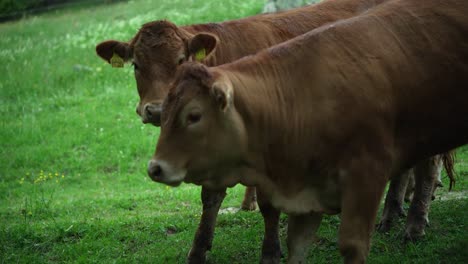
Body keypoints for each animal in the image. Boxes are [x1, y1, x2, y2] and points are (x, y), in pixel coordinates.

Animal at [94, 0, 388, 260]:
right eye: (136, 65)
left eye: (180, 60)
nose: (155, 110)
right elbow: (210, 197)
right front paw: (198, 249)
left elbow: (270, 206)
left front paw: (271, 249)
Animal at [149, 0, 468, 262]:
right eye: (164, 114)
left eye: (194, 115)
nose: (155, 168)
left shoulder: (365, 178)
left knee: (427, 167)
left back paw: (413, 224)